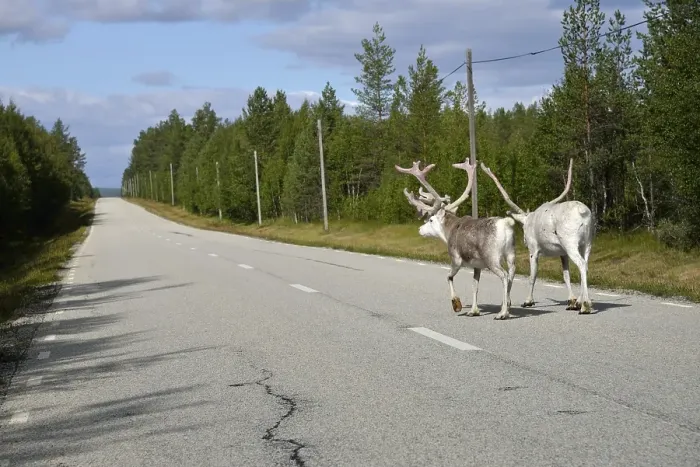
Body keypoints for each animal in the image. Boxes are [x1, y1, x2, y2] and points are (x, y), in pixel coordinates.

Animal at [395, 158, 517, 320]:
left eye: (431, 220)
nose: (420, 229)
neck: (448, 232)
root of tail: (507, 224)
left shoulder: (456, 258)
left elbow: (448, 277)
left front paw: (456, 304)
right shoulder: (477, 265)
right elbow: (474, 286)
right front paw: (474, 311)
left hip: (492, 257)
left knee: (504, 276)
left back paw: (502, 313)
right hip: (510, 254)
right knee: (511, 274)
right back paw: (507, 306)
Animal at [479, 158, 595, 314]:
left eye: (523, 229)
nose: (524, 240)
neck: (528, 219)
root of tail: (583, 212)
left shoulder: (534, 249)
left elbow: (532, 275)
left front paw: (528, 301)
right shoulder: (562, 252)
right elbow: (566, 275)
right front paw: (571, 301)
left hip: (571, 243)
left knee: (582, 264)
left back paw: (585, 305)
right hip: (587, 243)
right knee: (586, 265)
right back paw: (580, 301)